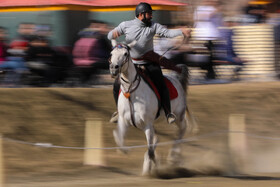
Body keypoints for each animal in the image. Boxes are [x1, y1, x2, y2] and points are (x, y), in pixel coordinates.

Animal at [109, 40, 197, 175]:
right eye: (111, 53)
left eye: (125, 54)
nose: (114, 68)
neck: (132, 93)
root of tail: (176, 79)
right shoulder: (124, 121)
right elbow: (120, 141)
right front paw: (150, 164)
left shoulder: (147, 124)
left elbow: (150, 150)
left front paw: (152, 167)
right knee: (157, 138)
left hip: (179, 116)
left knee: (181, 130)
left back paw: (173, 156)